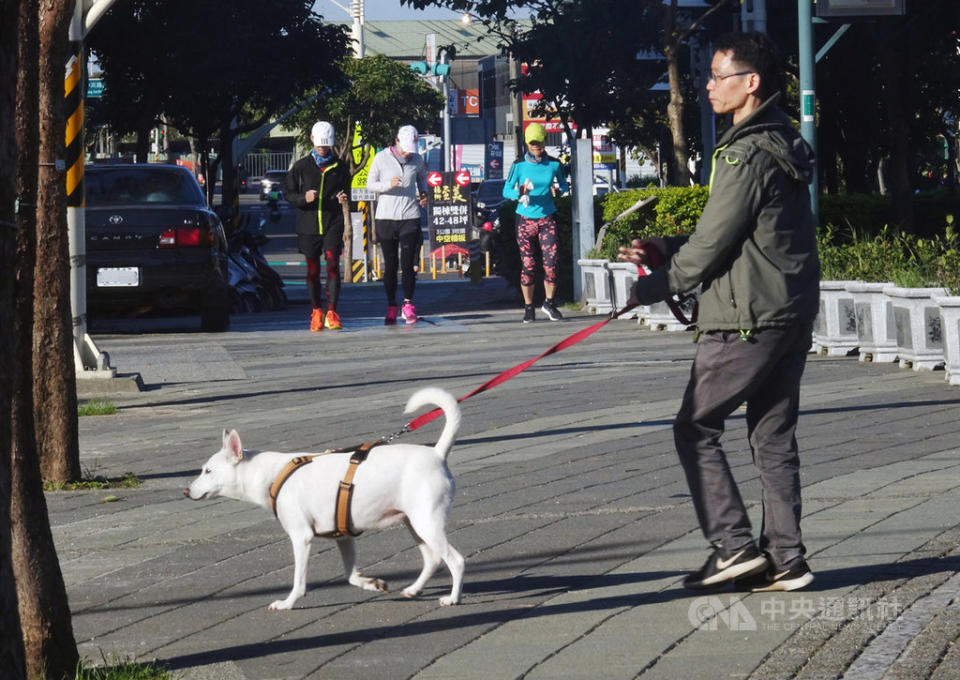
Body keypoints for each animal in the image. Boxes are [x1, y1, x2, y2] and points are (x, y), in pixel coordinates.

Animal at [185, 388, 464, 612]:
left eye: (208, 471)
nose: (186, 492)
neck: (273, 474)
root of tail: (437, 454)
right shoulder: (343, 536)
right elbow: (350, 575)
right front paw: (372, 583)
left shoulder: (301, 537)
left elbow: (299, 581)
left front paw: (287, 603)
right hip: (414, 524)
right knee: (433, 559)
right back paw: (414, 589)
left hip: (427, 523)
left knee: (456, 561)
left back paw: (453, 598)